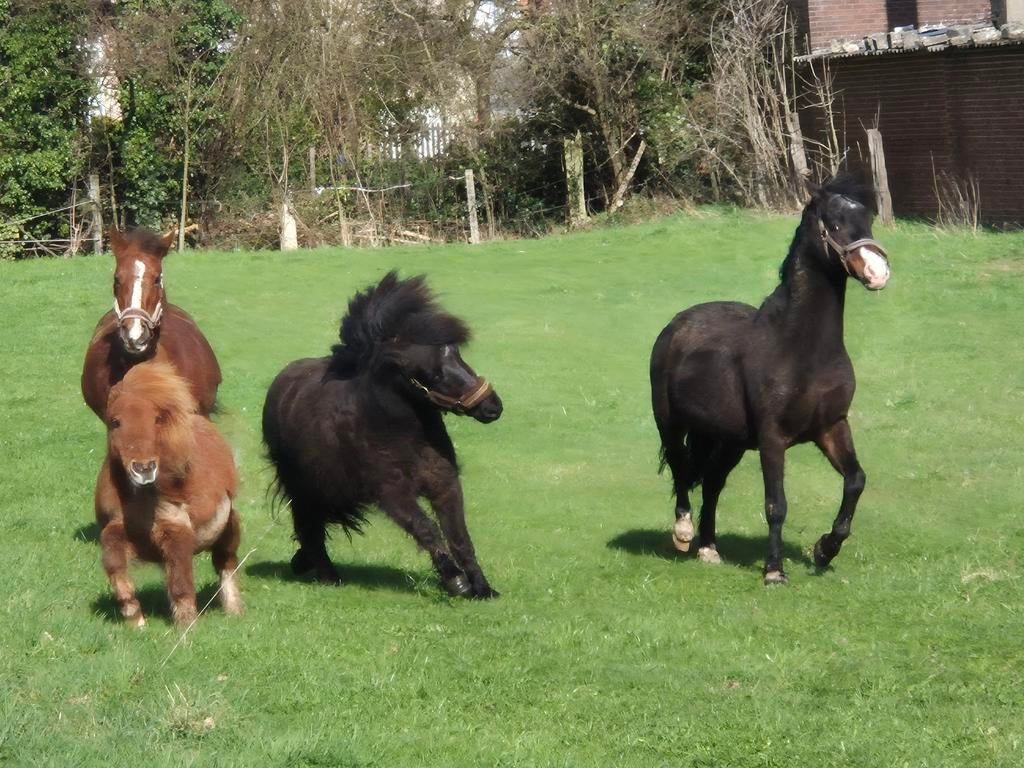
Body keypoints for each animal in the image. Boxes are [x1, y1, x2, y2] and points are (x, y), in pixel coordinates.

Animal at [95, 362, 243, 626]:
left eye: (156, 419)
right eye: (115, 422)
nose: (144, 468)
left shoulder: (177, 533)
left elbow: (181, 583)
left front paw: (186, 628)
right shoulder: (119, 530)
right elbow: (115, 563)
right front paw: (135, 619)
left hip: (228, 527)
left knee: (225, 563)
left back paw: (234, 610)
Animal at [262, 271, 504, 598]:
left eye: (456, 354)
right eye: (433, 373)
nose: (492, 407)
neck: (403, 433)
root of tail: (283, 381)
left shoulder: (445, 483)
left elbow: (459, 536)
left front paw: (483, 588)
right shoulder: (392, 492)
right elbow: (427, 528)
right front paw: (456, 581)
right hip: (301, 485)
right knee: (308, 525)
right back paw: (328, 575)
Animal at [650, 176, 891, 585]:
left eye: (868, 220)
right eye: (834, 224)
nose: (878, 273)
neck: (799, 348)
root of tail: (675, 325)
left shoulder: (831, 427)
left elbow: (855, 480)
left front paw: (824, 549)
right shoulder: (772, 438)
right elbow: (776, 504)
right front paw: (774, 571)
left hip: (727, 440)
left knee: (712, 483)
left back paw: (709, 549)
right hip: (670, 423)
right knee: (682, 470)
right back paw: (683, 534)